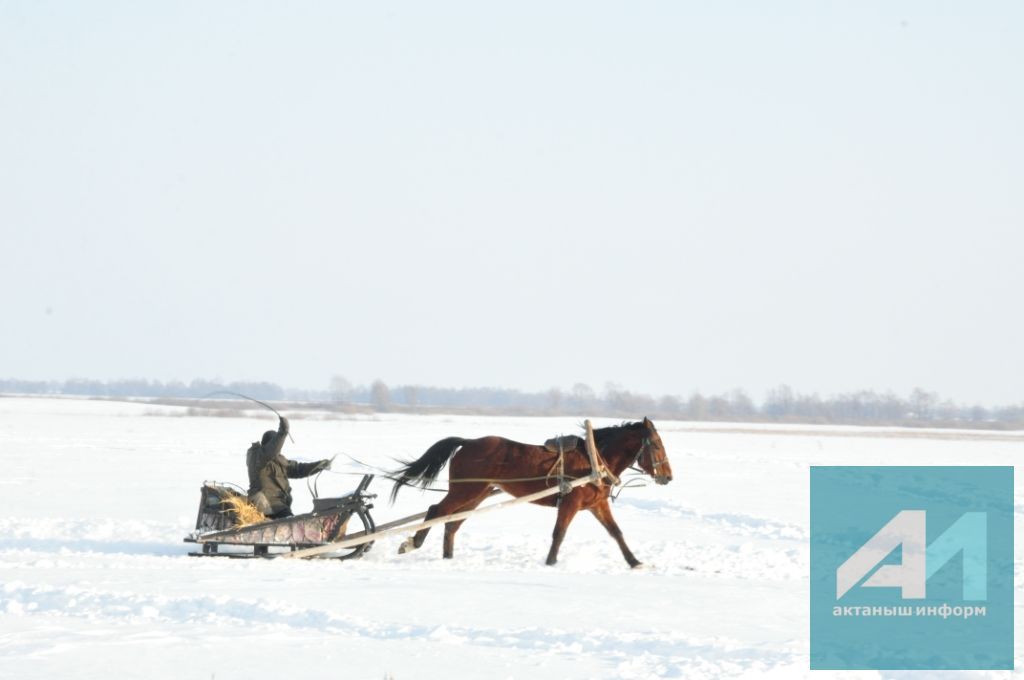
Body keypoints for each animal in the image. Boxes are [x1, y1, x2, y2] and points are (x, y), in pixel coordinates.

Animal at [385, 417, 671, 565]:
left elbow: (616, 532)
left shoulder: (596, 504)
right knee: (437, 510)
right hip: (465, 490)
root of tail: (468, 442)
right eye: (657, 445)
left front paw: (635, 562)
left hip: (478, 493)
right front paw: (551, 562)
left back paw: (448, 557)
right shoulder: (570, 502)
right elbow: (559, 533)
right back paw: (412, 543)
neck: (593, 459)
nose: (668, 477)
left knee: (451, 522)